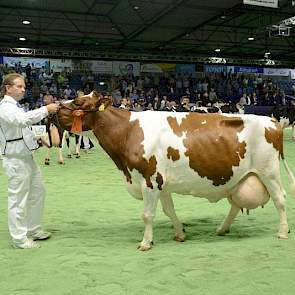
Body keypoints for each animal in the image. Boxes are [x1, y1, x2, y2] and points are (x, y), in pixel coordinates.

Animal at [55, 92, 295, 252]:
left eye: (78, 102)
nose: (54, 109)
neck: (128, 132)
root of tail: (272, 121)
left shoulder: (149, 180)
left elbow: (147, 214)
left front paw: (145, 243)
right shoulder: (161, 184)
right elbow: (169, 211)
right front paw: (180, 234)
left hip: (268, 172)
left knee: (280, 198)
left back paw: (283, 232)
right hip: (239, 177)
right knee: (236, 204)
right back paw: (222, 229)